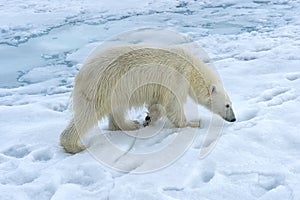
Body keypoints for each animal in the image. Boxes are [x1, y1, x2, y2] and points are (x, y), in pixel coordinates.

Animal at [59, 45, 236, 153]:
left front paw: (149, 118)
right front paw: (193, 123)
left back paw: (130, 124)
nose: (234, 119)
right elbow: (173, 103)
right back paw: (75, 145)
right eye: (227, 105)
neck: (192, 68)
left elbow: (156, 104)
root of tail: (81, 73)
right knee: (89, 113)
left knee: (116, 108)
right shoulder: (177, 77)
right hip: (104, 84)